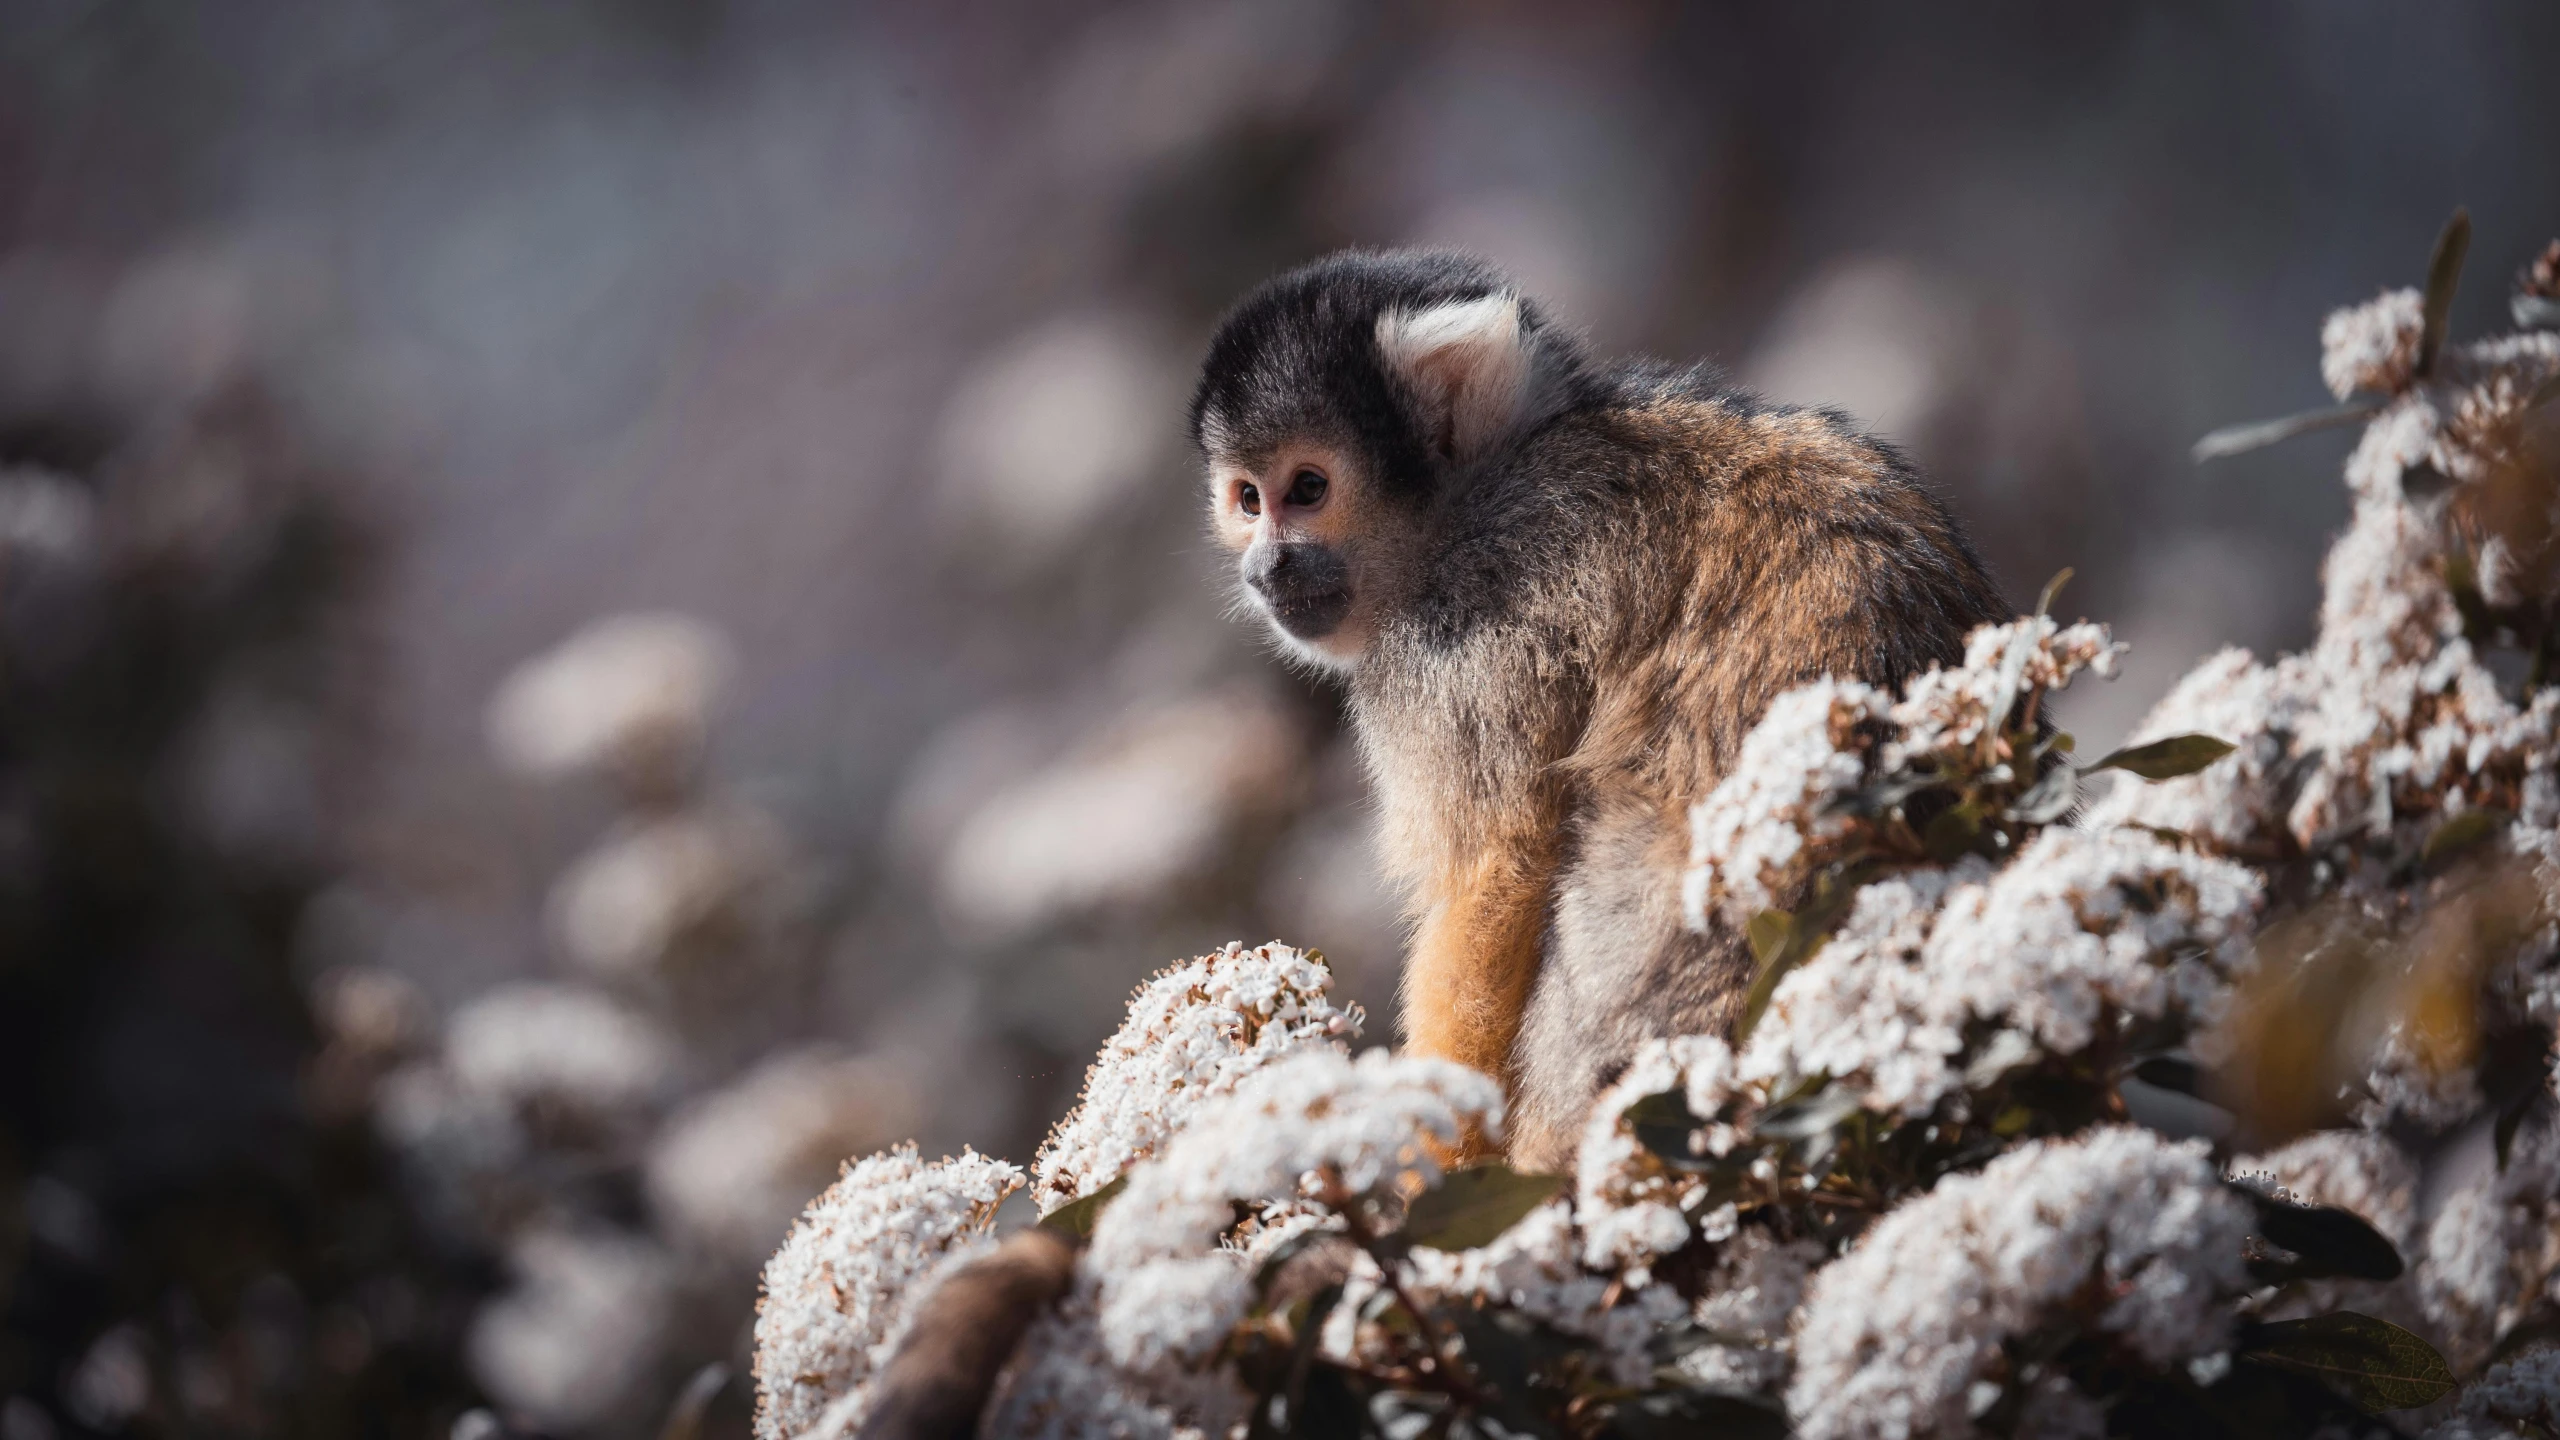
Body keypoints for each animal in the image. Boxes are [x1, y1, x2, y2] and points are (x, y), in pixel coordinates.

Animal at [1187, 249, 2007, 1168]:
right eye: (1247, 499)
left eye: (1307, 488)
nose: (1266, 570)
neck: (1481, 490)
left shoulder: (1470, 618)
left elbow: (1496, 870)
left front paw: (1428, 1168)